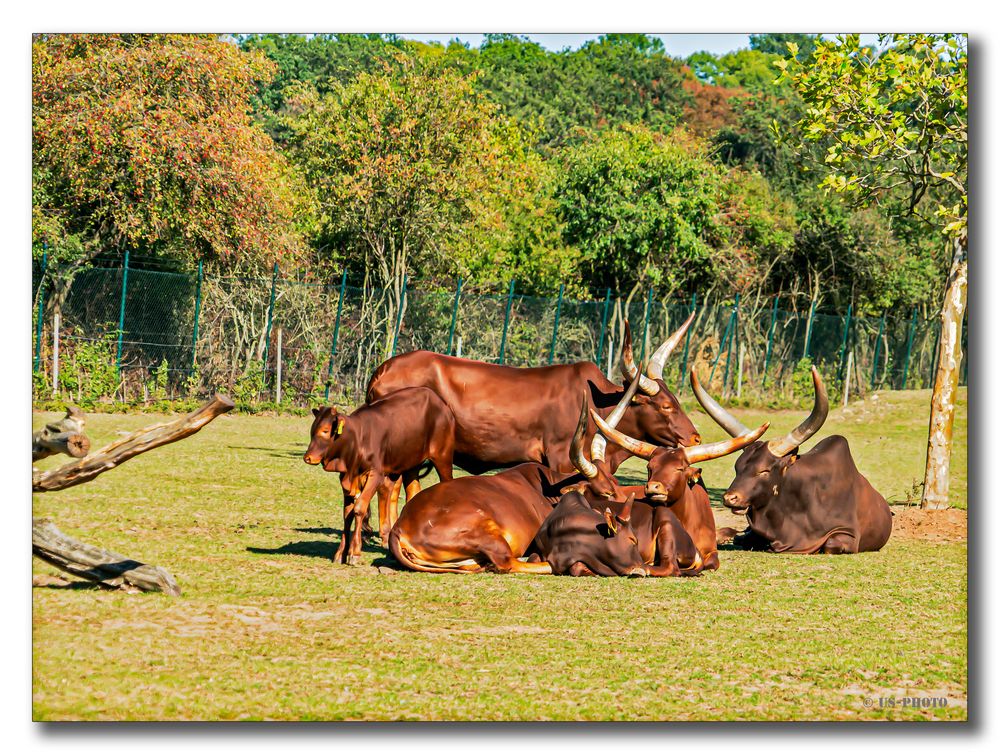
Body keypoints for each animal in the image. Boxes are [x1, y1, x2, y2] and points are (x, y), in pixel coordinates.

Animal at [304, 390, 458, 560]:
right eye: (312, 430)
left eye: (325, 431)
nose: (308, 458)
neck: (358, 439)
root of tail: (441, 404)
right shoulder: (346, 478)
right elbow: (347, 514)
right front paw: (340, 552)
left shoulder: (375, 474)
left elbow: (359, 508)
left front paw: (354, 551)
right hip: (410, 463)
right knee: (410, 491)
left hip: (443, 456)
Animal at [692, 368, 896, 556]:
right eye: (737, 468)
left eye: (764, 470)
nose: (730, 498)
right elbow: (744, 537)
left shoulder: (848, 534)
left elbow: (830, 545)